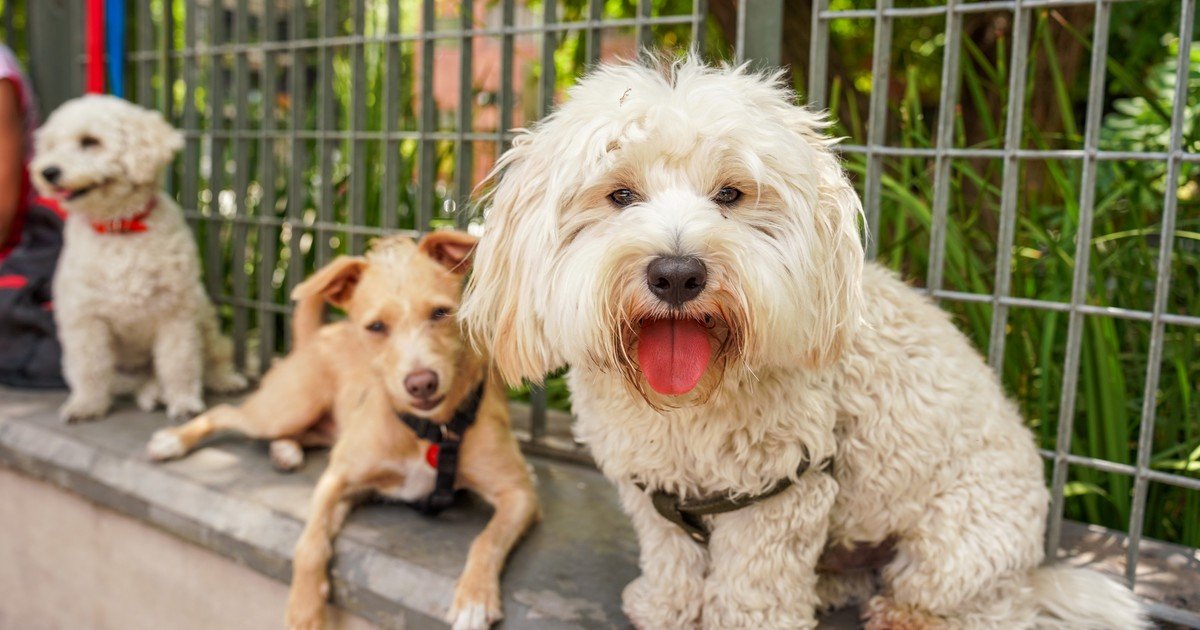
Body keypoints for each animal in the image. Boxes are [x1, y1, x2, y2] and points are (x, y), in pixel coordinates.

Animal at [30, 95, 246, 421]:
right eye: (52, 145)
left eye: (89, 141)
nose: (48, 172)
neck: (120, 229)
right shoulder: (85, 318)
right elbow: (89, 367)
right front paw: (87, 405)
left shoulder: (176, 313)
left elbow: (179, 362)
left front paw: (184, 401)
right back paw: (151, 393)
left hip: (205, 318)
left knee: (213, 359)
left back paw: (222, 380)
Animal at [146, 231, 540, 630]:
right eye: (376, 327)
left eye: (440, 313)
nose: (421, 383)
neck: (430, 429)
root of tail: (317, 336)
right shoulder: (338, 479)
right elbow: (310, 543)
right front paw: (304, 608)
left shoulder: (518, 493)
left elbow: (487, 539)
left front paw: (474, 596)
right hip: (287, 408)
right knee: (225, 412)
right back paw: (174, 440)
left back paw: (284, 451)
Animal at [460, 57, 1146, 629]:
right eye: (620, 194)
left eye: (731, 194)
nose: (677, 275)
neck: (688, 407)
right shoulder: (654, 492)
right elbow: (671, 558)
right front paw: (665, 608)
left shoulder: (779, 496)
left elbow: (752, 587)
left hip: (961, 542)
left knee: (986, 606)